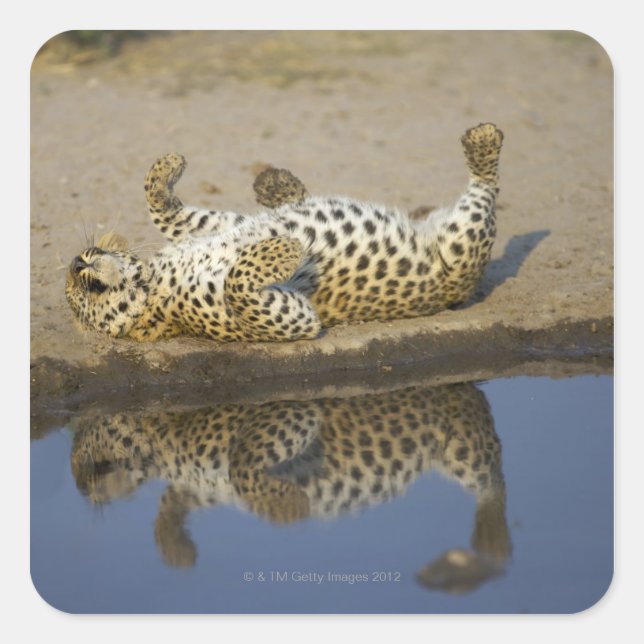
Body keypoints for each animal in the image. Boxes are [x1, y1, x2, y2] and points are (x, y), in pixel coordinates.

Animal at [65, 123, 503, 342]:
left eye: (85, 260)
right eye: (83, 293)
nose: (75, 262)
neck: (155, 277)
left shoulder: (215, 228)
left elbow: (166, 210)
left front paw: (167, 166)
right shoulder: (292, 320)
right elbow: (237, 284)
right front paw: (287, 247)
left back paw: (276, 184)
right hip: (460, 245)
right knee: (485, 185)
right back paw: (484, 141)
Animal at [70, 381, 511, 589]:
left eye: (92, 468)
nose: (79, 488)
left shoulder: (279, 416)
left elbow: (242, 465)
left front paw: (294, 507)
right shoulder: (202, 483)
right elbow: (175, 497)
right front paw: (175, 547)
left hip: (462, 448)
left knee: (492, 479)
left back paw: (494, 537)